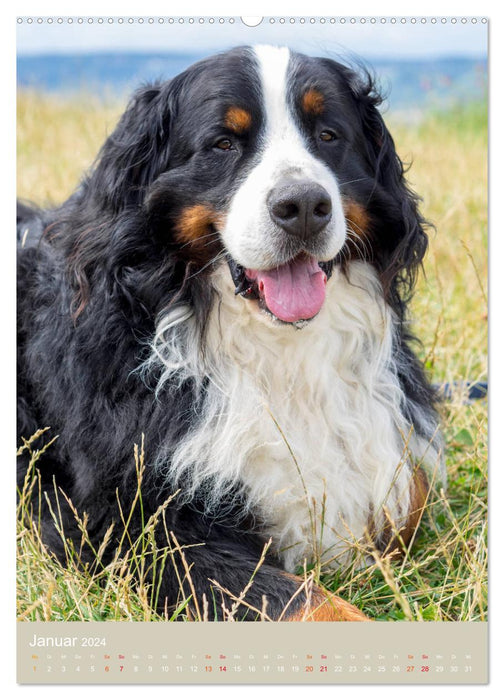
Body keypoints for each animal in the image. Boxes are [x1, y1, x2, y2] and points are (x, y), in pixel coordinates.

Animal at [15, 45, 442, 624]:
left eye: (328, 135)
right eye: (223, 143)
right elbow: (305, 603)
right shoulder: (128, 529)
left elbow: (406, 495)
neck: (278, 354)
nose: (303, 206)